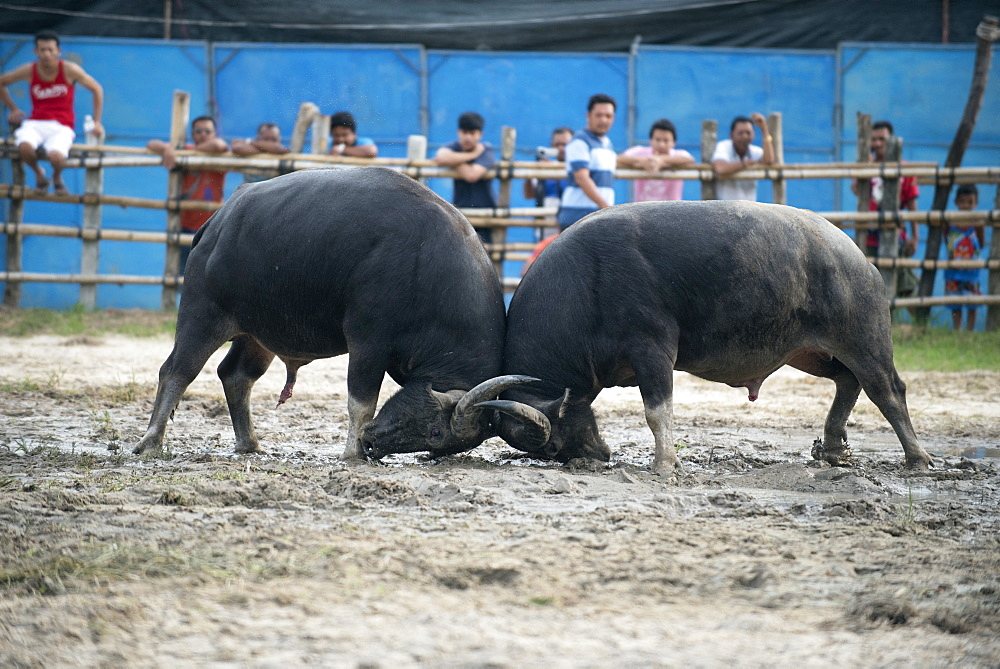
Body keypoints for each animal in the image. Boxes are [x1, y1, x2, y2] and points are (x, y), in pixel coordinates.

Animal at [137, 167, 536, 460]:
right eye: (437, 430)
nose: (374, 445)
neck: (427, 266)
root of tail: (216, 223)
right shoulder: (367, 342)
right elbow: (361, 402)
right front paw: (352, 452)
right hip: (201, 314)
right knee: (177, 371)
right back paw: (151, 441)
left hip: (257, 334)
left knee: (235, 375)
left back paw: (249, 444)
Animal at [480, 200, 932, 474]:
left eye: (553, 445)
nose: (597, 455)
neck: (588, 285)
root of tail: (856, 257)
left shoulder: (652, 349)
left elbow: (657, 411)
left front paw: (665, 465)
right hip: (810, 353)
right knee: (847, 382)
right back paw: (834, 447)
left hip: (864, 340)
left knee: (888, 390)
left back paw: (918, 457)